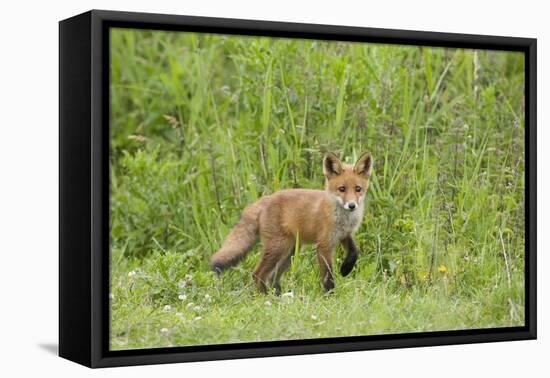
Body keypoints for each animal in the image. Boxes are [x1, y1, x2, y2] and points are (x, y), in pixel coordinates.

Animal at [209, 152, 374, 294]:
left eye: (358, 189)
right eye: (342, 189)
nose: (352, 205)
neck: (342, 218)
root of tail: (265, 198)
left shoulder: (344, 235)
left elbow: (354, 251)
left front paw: (346, 269)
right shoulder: (323, 245)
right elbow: (328, 277)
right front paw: (330, 296)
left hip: (290, 252)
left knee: (272, 276)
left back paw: (278, 297)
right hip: (278, 247)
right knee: (258, 274)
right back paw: (264, 298)